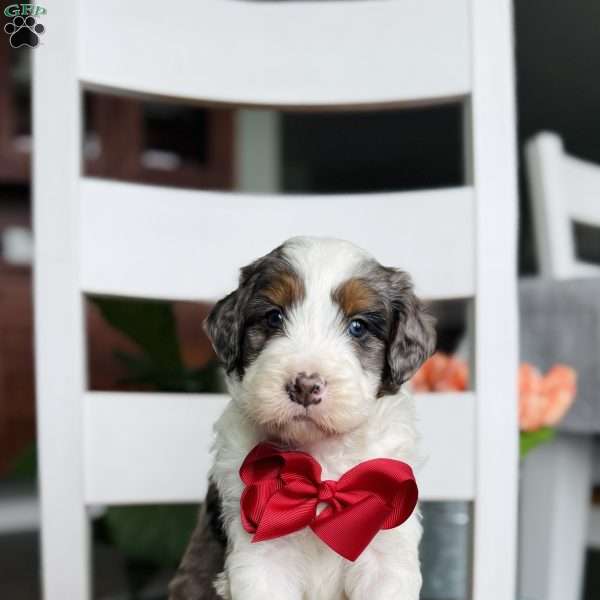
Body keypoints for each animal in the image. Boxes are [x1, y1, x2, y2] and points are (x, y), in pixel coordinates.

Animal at [204, 237, 434, 596]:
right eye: (274, 317)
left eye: (358, 327)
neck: (321, 456)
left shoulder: (387, 545)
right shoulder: (262, 549)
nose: (304, 386)